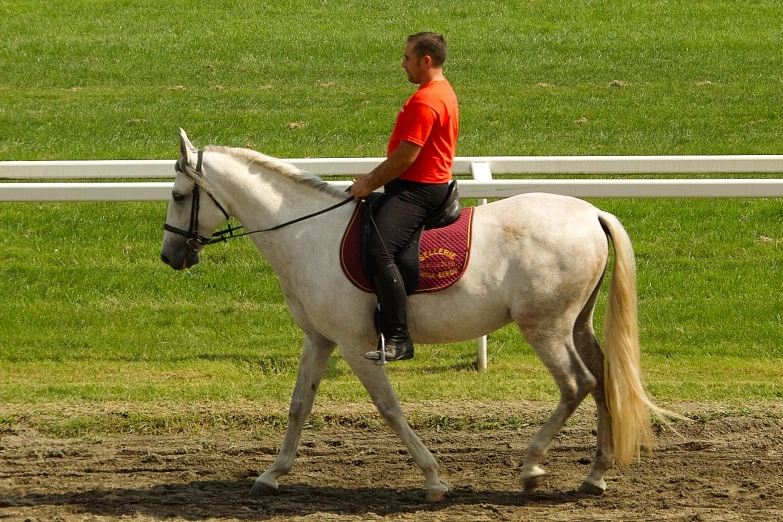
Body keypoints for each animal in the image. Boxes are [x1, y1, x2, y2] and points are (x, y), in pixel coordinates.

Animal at [162, 129, 676, 500]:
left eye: (180, 196)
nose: (170, 256)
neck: (308, 233)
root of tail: (592, 213)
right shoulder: (320, 338)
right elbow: (299, 405)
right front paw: (271, 474)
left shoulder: (357, 346)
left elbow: (389, 408)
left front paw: (433, 479)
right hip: (576, 323)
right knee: (603, 380)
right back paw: (594, 477)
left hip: (545, 327)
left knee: (577, 384)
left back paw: (531, 467)